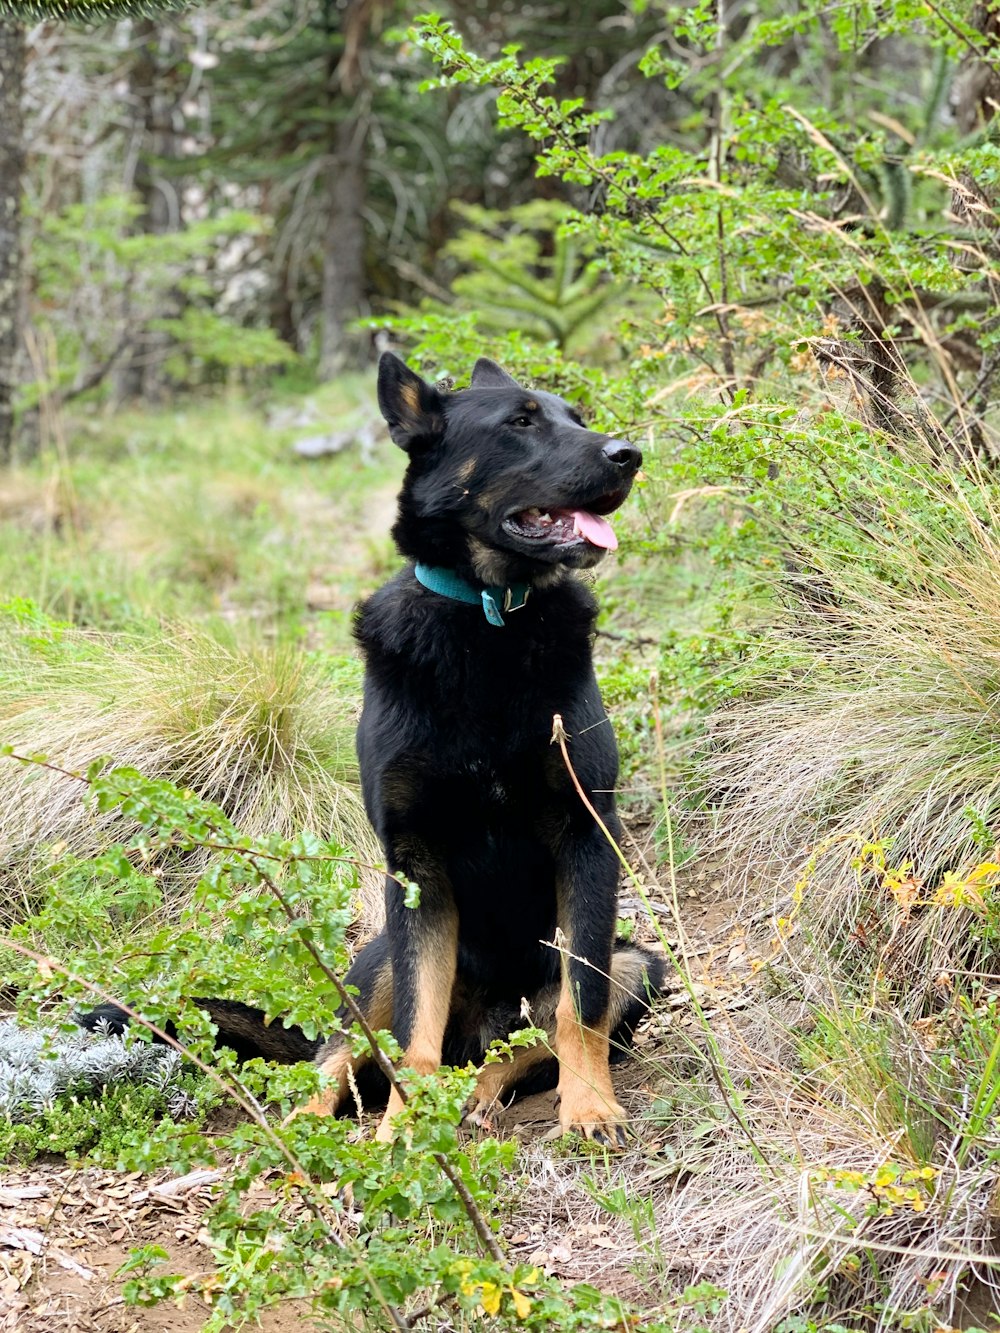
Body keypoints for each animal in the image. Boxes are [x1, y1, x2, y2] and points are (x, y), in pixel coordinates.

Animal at [84, 354, 666, 1146]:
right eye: (520, 421)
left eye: (577, 417)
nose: (628, 455)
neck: (487, 620)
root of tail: (478, 1024)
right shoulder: (415, 870)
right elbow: (411, 1039)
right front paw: (405, 1131)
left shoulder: (585, 838)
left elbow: (582, 1012)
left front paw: (591, 1107)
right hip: (384, 955)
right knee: (343, 1053)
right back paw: (311, 1124)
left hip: (634, 962)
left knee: (522, 1044)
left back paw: (480, 1093)